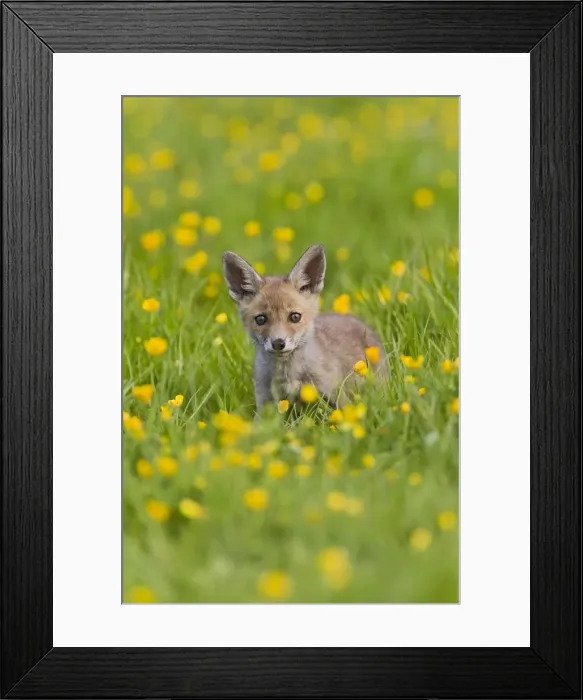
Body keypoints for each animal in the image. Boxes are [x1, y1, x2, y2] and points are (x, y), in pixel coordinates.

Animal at [222, 243, 386, 413]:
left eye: (295, 317)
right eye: (261, 319)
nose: (278, 343)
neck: (288, 374)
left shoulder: (336, 396)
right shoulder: (265, 403)